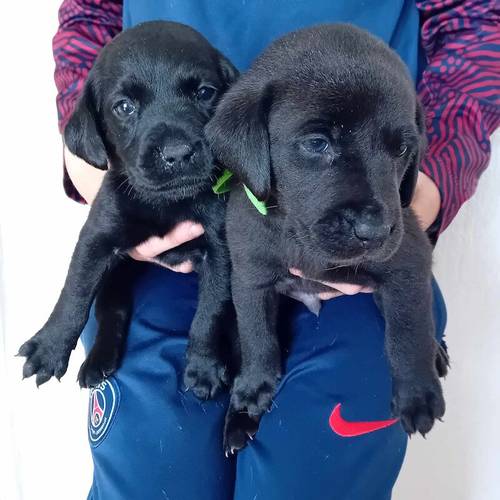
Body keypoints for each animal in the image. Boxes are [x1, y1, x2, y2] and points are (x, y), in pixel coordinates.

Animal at [18, 22, 237, 398]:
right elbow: (74, 294)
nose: (177, 153)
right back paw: (98, 361)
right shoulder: (96, 240)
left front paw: (204, 366)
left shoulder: (219, 249)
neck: (167, 203)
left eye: (205, 92)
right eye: (124, 107)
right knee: (111, 309)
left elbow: (210, 311)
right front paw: (49, 346)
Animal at [207, 22, 450, 454]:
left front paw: (418, 393)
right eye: (318, 143)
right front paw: (251, 391)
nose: (374, 231)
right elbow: (257, 337)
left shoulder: (408, 263)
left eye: (402, 149)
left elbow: (408, 330)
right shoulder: (250, 277)